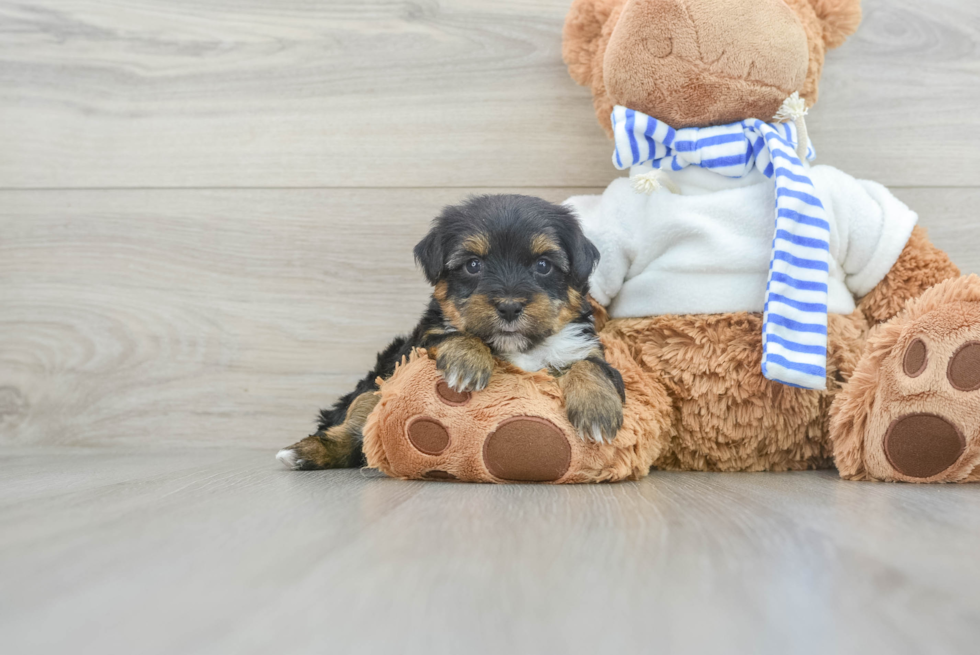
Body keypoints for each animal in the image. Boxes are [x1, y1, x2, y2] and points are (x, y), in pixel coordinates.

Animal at [280, 195, 624, 472]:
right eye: (473, 265)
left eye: (543, 265)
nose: (509, 306)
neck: (519, 347)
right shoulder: (422, 340)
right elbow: (453, 334)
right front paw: (468, 364)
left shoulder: (585, 347)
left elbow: (591, 366)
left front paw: (597, 411)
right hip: (378, 382)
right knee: (356, 423)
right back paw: (303, 452)